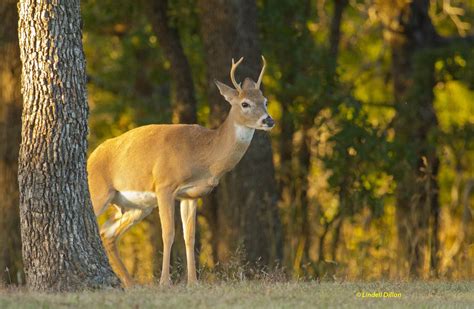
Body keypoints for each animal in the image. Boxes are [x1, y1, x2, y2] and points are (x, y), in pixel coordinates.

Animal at [87, 56, 274, 286]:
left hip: (137, 206)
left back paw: (130, 284)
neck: (203, 155)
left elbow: (189, 236)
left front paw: (193, 281)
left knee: (107, 234)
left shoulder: (190, 195)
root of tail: (91, 157)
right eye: (245, 103)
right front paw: (164, 282)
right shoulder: (164, 185)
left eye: (265, 101)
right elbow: (168, 233)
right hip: (99, 192)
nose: (269, 120)